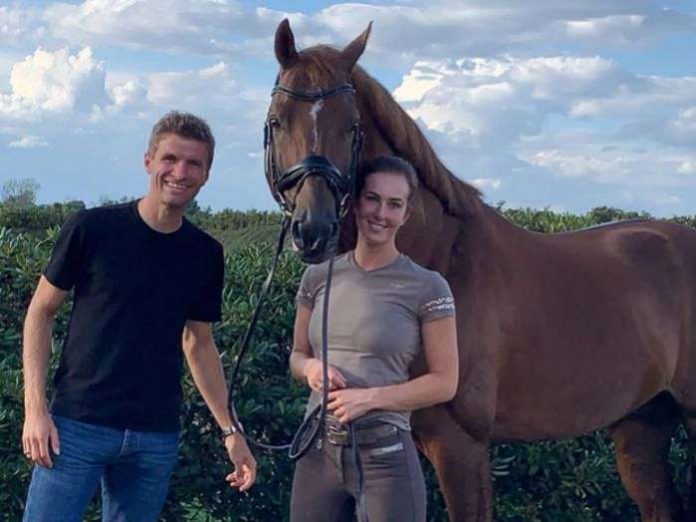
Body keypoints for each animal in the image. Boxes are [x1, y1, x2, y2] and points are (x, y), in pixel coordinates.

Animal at [264, 19, 696, 521]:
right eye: (277, 121)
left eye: (352, 126)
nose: (313, 229)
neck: (442, 256)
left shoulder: (460, 444)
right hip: (641, 425)